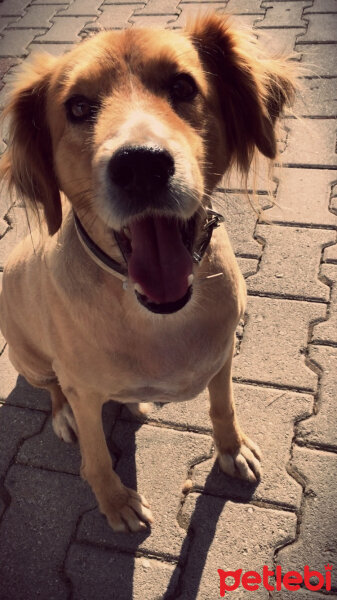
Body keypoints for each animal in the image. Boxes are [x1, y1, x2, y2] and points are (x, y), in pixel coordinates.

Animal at [0, 12, 294, 528]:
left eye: (183, 85)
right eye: (78, 107)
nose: (141, 165)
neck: (161, 316)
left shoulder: (223, 356)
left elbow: (223, 407)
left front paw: (232, 449)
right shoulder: (82, 388)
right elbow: (97, 458)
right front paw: (116, 502)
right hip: (28, 359)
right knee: (54, 388)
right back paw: (64, 414)